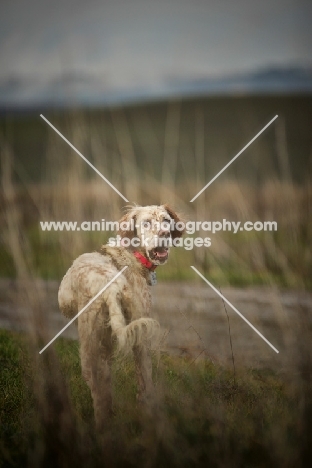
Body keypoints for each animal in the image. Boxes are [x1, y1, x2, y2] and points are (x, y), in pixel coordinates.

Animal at [57, 203, 184, 430]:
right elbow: (145, 379)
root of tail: (110, 287)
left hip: (97, 346)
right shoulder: (140, 337)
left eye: (166, 220)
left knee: (102, 390)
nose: (164, 234)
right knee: (100, 393)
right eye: (146, 223)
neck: (130, 255)